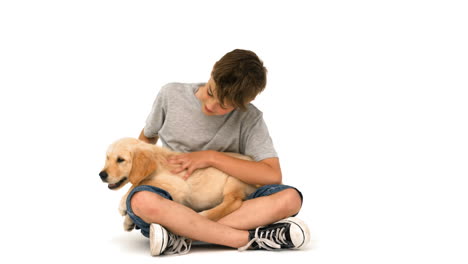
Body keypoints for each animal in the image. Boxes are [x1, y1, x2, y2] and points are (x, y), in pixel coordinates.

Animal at [99, 137, 260, 230]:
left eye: (120, 160)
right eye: (107, 158)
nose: (101, 175)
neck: (158, 162)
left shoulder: (178, 186)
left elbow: (139, 184)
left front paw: (122, 205)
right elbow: (141, 183)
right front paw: (128, 222)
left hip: (235, 178)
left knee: (234, 201)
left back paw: (204, 215)